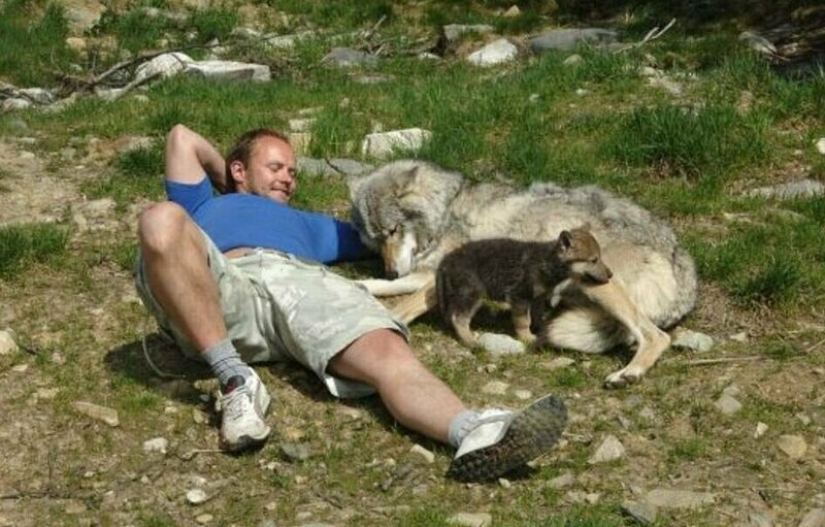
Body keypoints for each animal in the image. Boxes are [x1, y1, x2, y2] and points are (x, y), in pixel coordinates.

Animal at [436, 227, 613, 348]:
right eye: (594, 260)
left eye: (599, 257)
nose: (611, 275)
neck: (548, 262)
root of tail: (445, 262)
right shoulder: (519, 296)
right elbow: (523, 320)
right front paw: (527, 338)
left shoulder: (537, 298)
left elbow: (536, 315)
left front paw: (540, 328)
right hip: (474, 293)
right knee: (459, 318)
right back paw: (469, 340)